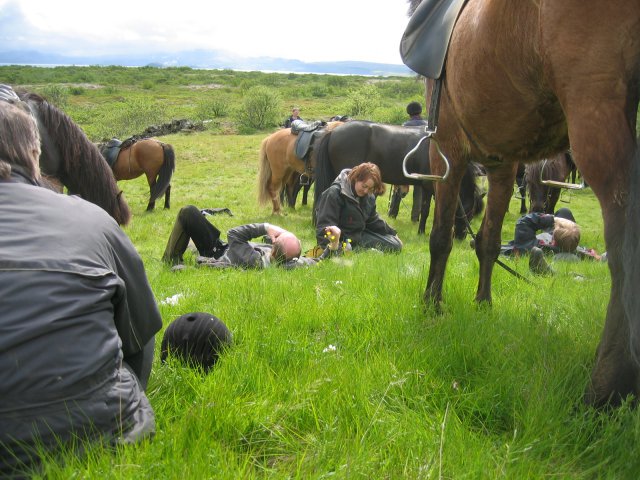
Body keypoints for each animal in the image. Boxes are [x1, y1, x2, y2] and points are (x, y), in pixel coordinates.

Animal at [312, 120, 482, 236]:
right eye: (471, 211)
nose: (461, 236)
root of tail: (334, 131)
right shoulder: (429, 186)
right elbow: (426, 210)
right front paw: (422, 232)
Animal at [404, 0, 640, 406]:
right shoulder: (502, 162)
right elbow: (488, 242)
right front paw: (483, 305)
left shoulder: (446, 146)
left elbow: (441, 238)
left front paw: (432, 304)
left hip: (596, 110)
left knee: (625, 251)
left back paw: (606, 385)